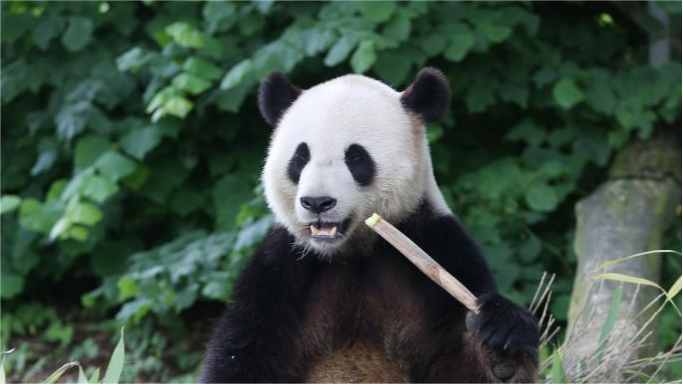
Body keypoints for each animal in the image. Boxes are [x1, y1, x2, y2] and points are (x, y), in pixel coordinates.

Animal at [200, 69, 544, 384]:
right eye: (300, 156)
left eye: (355, 157)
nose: (317, 202)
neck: (353, 249)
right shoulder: (282, 269)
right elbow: (244, 349)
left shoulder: (436, 243)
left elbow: (457, 364)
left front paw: (503, 348)